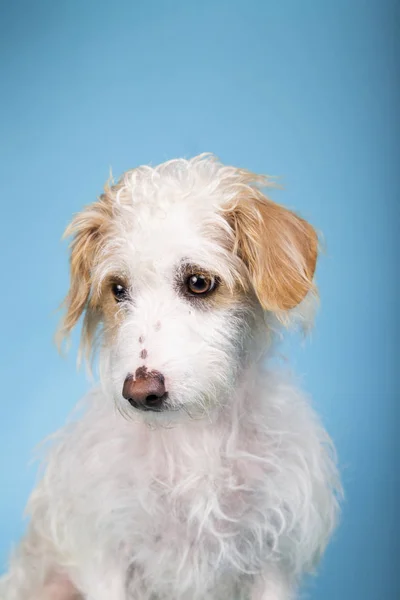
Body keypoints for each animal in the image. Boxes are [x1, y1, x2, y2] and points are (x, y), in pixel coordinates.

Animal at [1, 155, 342, 600]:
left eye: (199, 282)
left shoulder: (273, 560)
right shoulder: (107, 557)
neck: (194, 437)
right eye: (118, 289)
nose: (139, 392)